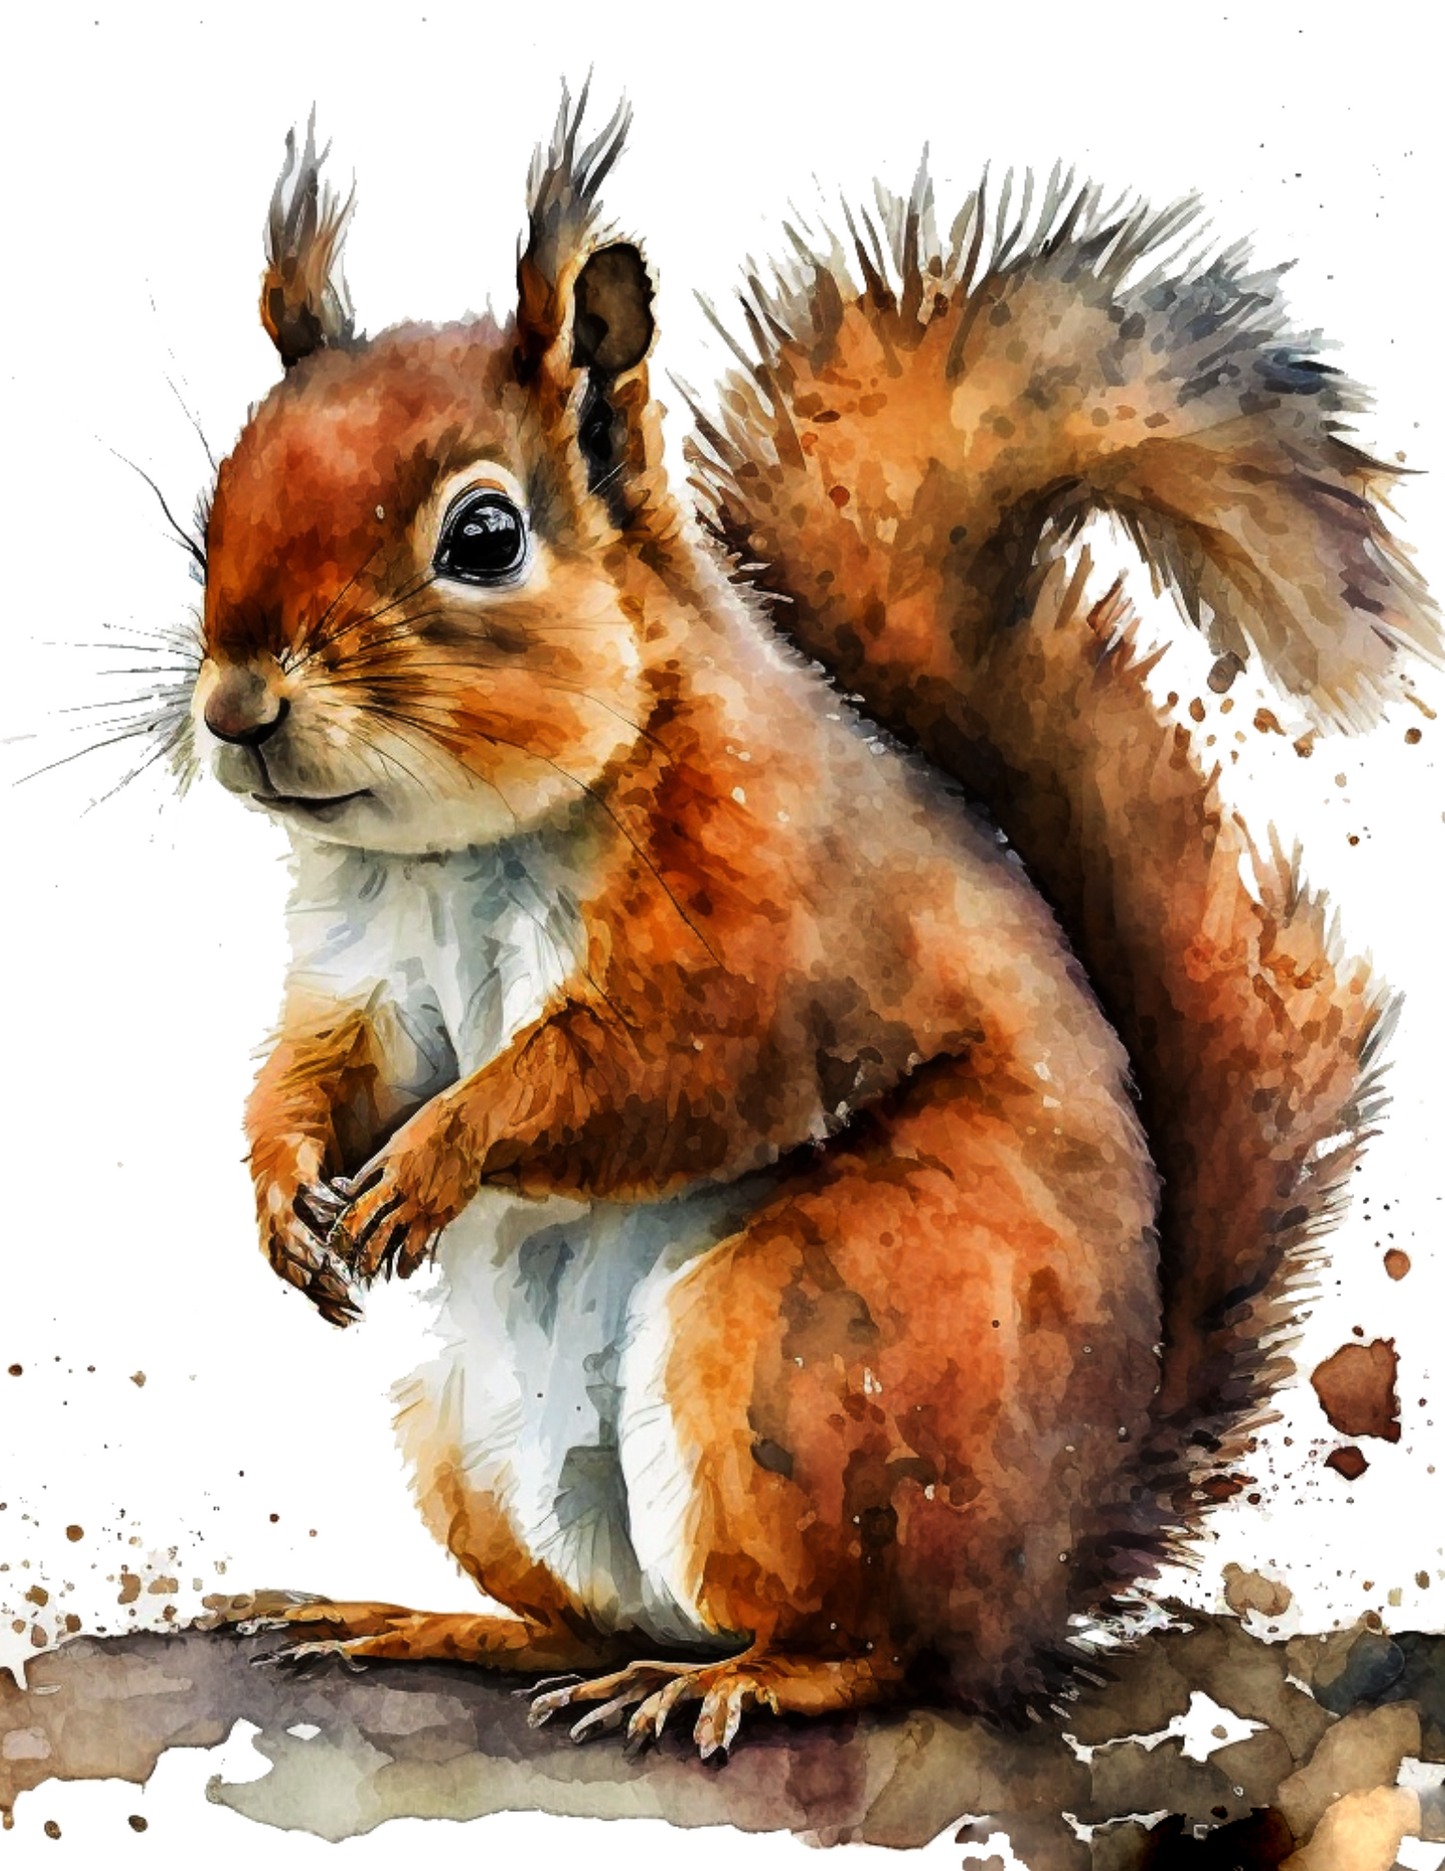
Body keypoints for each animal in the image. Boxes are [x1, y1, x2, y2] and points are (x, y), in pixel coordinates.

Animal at [186, 93, 1437, 1751]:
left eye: (484, 535)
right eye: (217, 500)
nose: (236, 706)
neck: (465, 849)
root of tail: (1041, 1571)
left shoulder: (771, 910)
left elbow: (656, 1066)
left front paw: (438, 1157)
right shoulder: (367, 961)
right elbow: (328, 1065)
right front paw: (285, 1194)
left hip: (803, 1350)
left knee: (874, 1643)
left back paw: (732, 1677)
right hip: (472, 1437)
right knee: (585, 1611)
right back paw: (430, 1622)